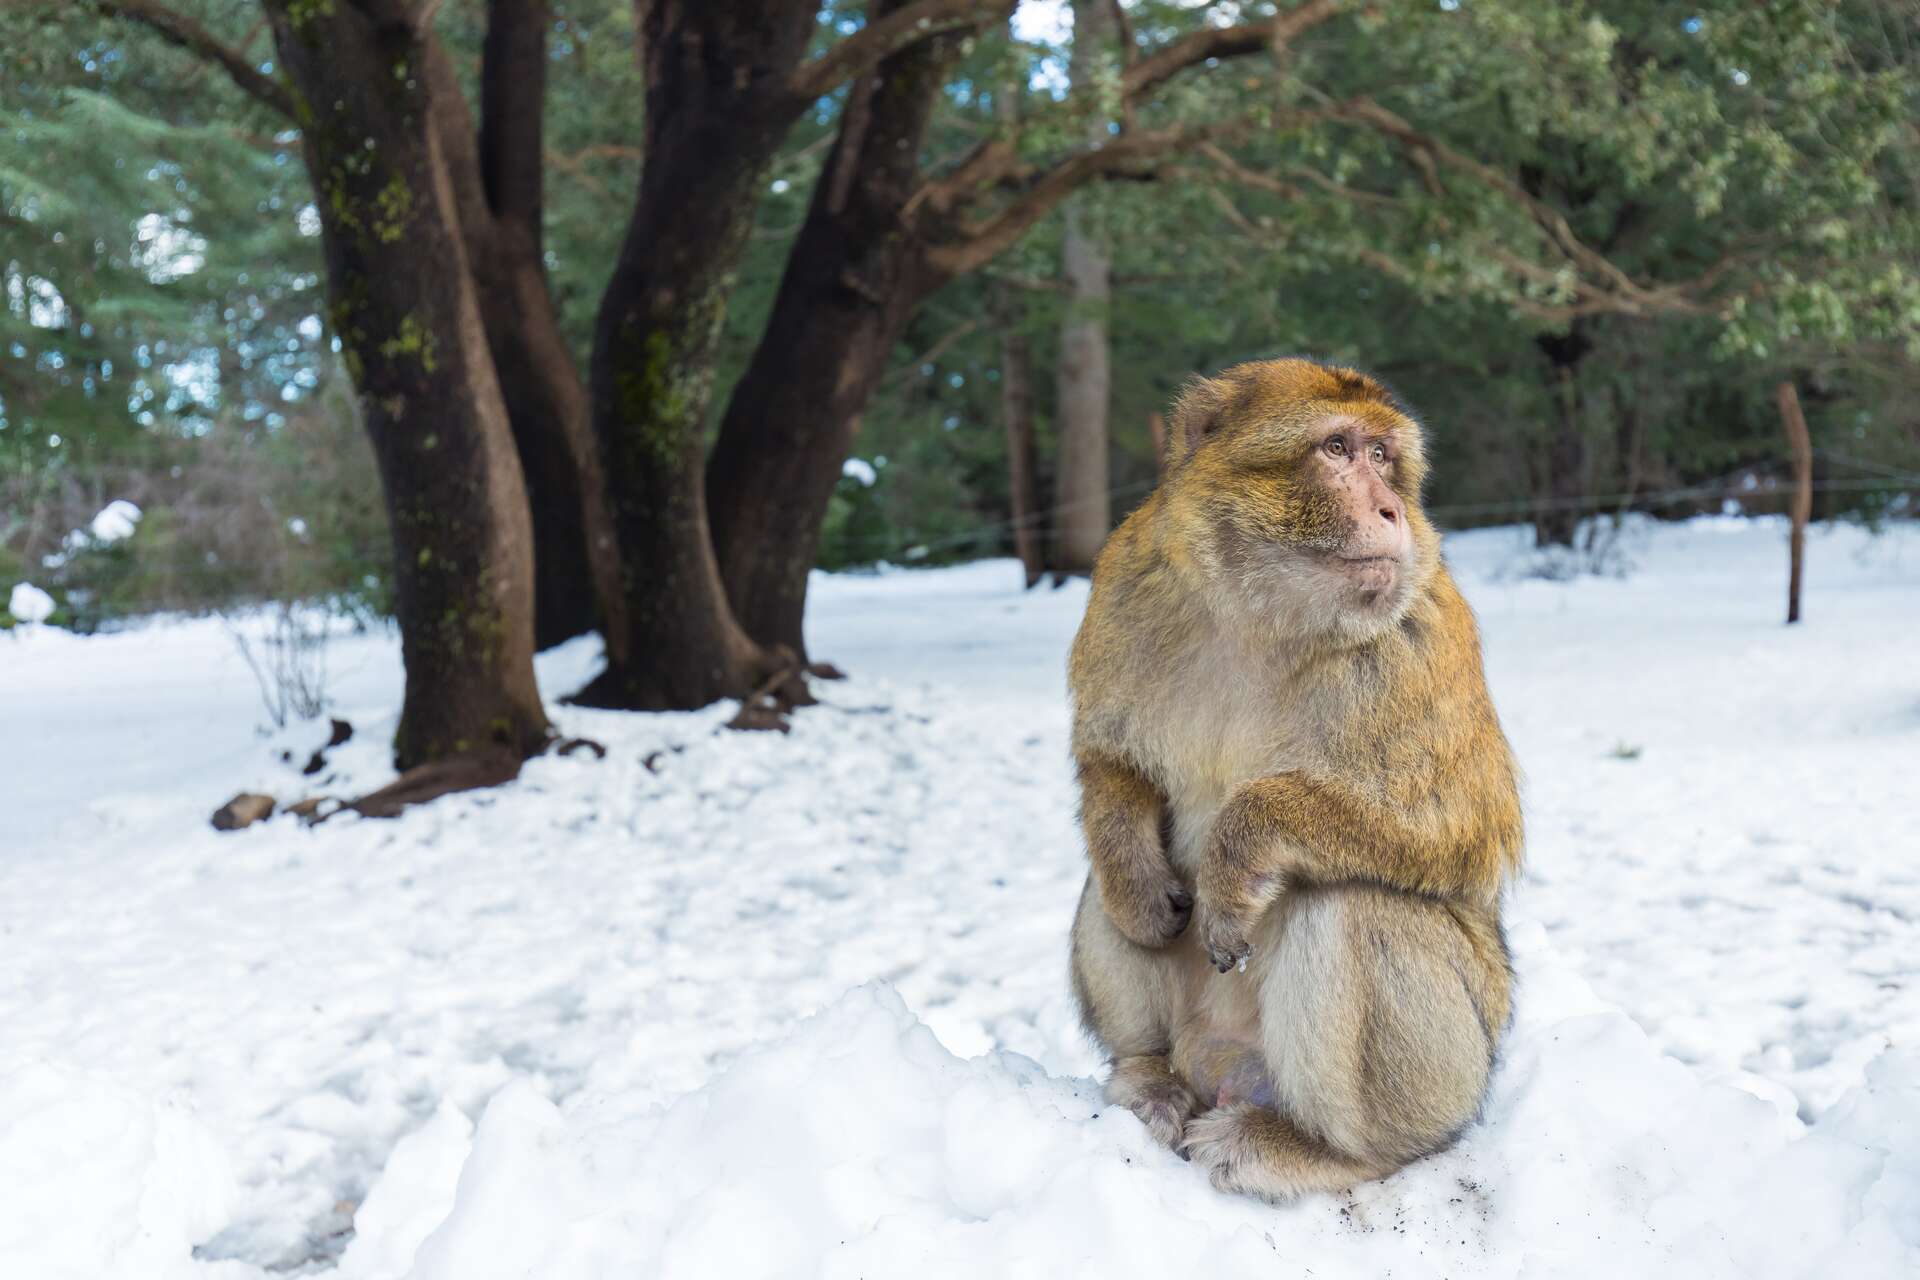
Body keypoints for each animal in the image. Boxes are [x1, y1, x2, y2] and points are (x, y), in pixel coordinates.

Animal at [1067, 353, 1512, 1205]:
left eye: (1383, 457)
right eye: (1338, 449)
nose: (1389, 510)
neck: (1261, 612)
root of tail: (1222, 1066)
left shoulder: (1423, 635)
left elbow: (1461, 831)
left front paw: (1242, 844)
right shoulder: (1127, 579)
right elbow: (1109, 758)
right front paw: (1137, 877)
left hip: (1453, 1070)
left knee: (1349, 903)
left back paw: (1325, 1151)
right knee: (1103, 886)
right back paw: (1146, 1074)